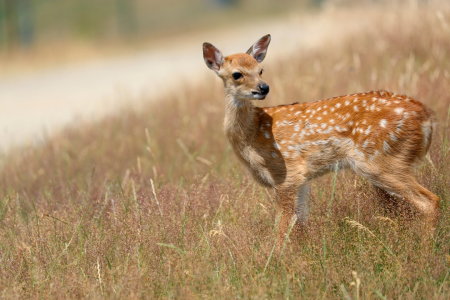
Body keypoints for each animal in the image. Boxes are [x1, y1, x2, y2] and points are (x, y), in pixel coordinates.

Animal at [203, 34, 440, 247]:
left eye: (260, 70)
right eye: (237, 74)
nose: (263, 87)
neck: (253, 135)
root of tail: (427, 117)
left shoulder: (286, 173)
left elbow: (282, 227)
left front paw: (277, 260)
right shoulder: (302, 179)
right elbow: (300, 223)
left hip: (381, 161)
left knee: (429, 201)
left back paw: (425, 248)